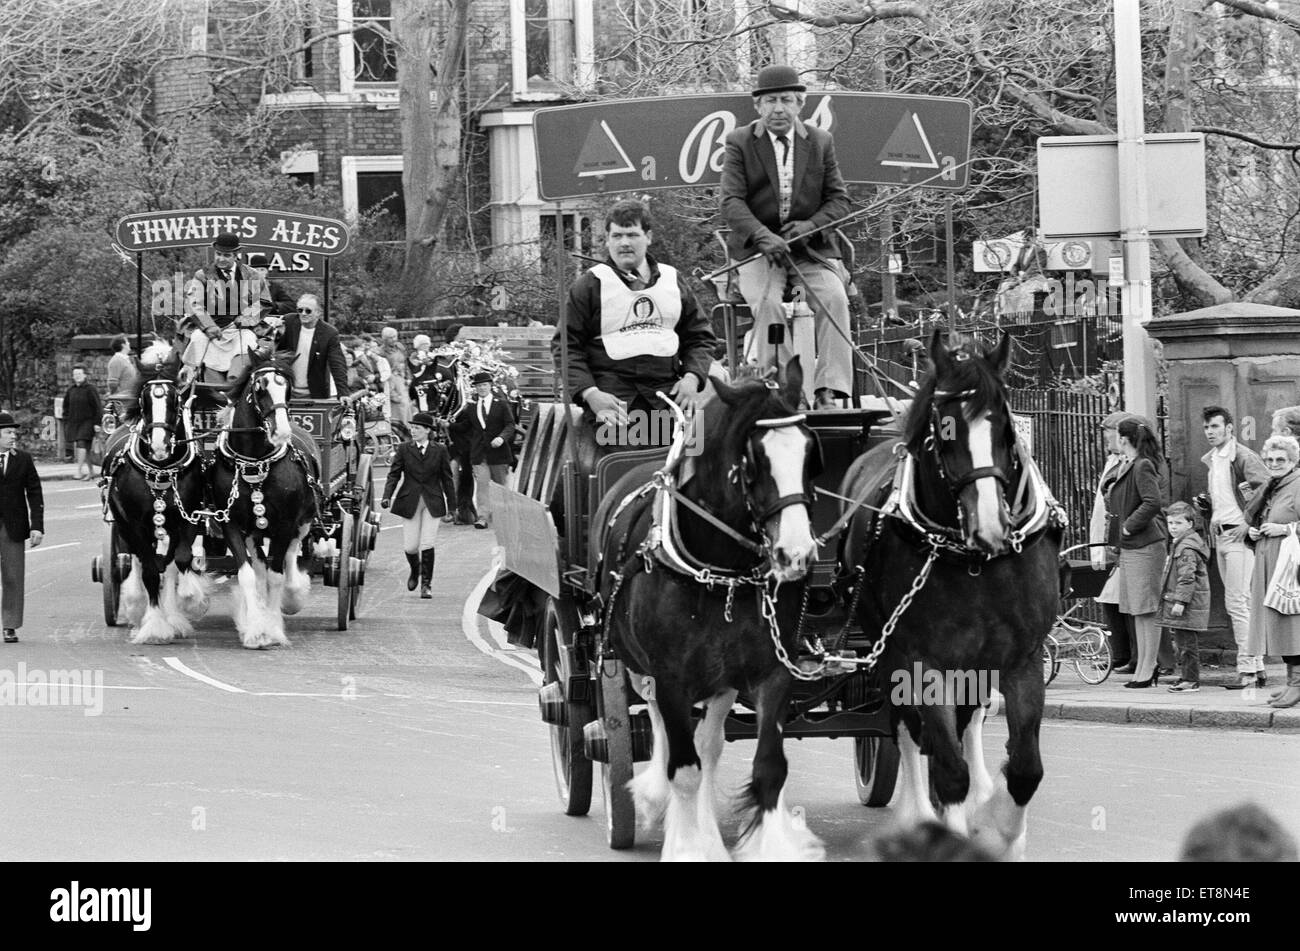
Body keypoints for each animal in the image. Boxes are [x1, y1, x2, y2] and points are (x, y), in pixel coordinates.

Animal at [102, 342, 209, 646]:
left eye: (175, 400)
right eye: (144, 401)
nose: (160, 446)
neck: (161, 468)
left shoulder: (188, 516)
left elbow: (180, 560)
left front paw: (187, 601)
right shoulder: (135, 523)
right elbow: (149, 570)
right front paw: (154, 625)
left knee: (168, 564)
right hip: (124, 524)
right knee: (135, 560)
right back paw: (138, 605)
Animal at [211, 353, 318, 649]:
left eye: (288, 388)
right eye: (260, 387)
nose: (281, 431)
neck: (255, 462)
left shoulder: (284, 524)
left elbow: (276, 575)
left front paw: (272, 628)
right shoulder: (231, 524)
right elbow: (248, 574)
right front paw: (256, 629)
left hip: (303, 521)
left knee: (291, 555)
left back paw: (292, 597)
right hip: (254, 529)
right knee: (259, 565)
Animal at [598, 358, 821, 862]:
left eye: (809, 452)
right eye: (754, 461)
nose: (796, 555)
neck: (721, 569)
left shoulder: (772, 671)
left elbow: (768, 768)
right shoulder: (671, 676)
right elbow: (684, 770)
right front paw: (688, 846)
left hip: (720, 677)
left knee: (710, 744)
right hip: (633, 660)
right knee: (659, 725)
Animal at [837, 329, 1060, 857]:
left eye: (1006, 426)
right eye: (944, 429)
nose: (991, 526)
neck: (973, 559)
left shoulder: (1023, 658)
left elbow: (1025, 768)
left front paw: (996, 827)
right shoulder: (921, 659)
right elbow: (947, 765)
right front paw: (955, 826)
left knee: (968, 720)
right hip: (886, 649)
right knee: (906, 727)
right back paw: (920, 812)